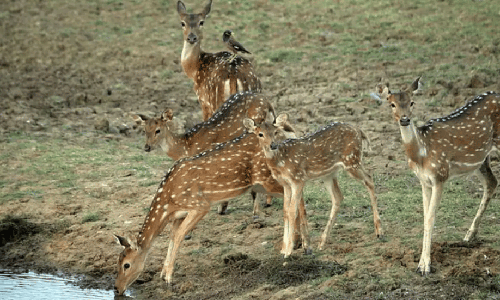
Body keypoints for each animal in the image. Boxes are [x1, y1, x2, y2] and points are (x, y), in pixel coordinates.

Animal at [114, 123, 308, 296]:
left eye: (126, 265)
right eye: (117, 261)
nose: (116, 288)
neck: (168, 201)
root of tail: (288, 136)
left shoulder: (199, 205)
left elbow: (178, 236)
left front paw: (168, 278)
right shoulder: (178, 214)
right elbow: (172, 236)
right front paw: (163, 273)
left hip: (269, 178)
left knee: (298, 196)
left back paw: (299, 247)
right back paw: (297, 245)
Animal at [133, 91, 296, 216]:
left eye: (158, 130)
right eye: (144, 130)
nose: (146, 147)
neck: (186, 146)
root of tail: (267, 101)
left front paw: (220, 208)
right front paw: (222, 208)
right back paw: (268, 201)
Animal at [245, 114, 382, 255]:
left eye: (275, 132)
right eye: (260, 134)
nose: (273, 145)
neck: (280, 161)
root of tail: (359, 130)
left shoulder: (298, 179)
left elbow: (292, 211)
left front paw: (288, 251)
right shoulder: (285, 184)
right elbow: (285, 211)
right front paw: (283, 249)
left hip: (352, 160)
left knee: (370, 180)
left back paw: (379, 231)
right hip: (329, 173)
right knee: (338, 197)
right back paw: (321, 243)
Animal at [378, 78, 500, 276]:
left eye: (412, 102)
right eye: (392, 104)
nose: (404, 119)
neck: (421, 154)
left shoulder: (440, 175)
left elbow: (430, 219)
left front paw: (425, 266)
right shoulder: (424, 181)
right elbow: (425, 218)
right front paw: (421, 263)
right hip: (481, 159)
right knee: (492, 182)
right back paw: (469, 235)